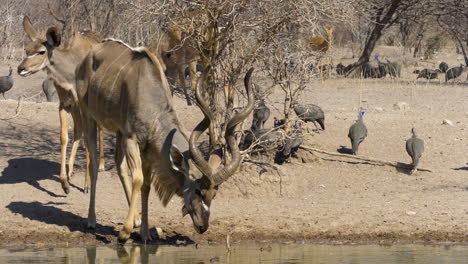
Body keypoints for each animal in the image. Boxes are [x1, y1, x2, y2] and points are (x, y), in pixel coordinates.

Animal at [17, 17, 105, 194]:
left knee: (99, 130)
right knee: (78, 130)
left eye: (41, 51)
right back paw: (71, 170)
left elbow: (88, 140)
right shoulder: (65, 105)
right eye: (27, 49)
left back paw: (101, 165)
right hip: (75, 109)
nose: (20, 69)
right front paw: (65, 184)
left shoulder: (85, 108)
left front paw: (87, 185)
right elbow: (64, 137)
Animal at [76, 38, 256, 241]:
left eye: (214, 194)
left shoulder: (146, 149)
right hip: (89, 117)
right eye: (197, 190)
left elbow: (146, 186)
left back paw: (135, 219)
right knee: (94, 163)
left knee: (119, 165)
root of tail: (90, 54)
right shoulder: (132, 139)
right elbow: (137, 179)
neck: (152, 102)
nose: (202, 226)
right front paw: (124, 232)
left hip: (118, 131)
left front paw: (145, 233)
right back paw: (91, 220)